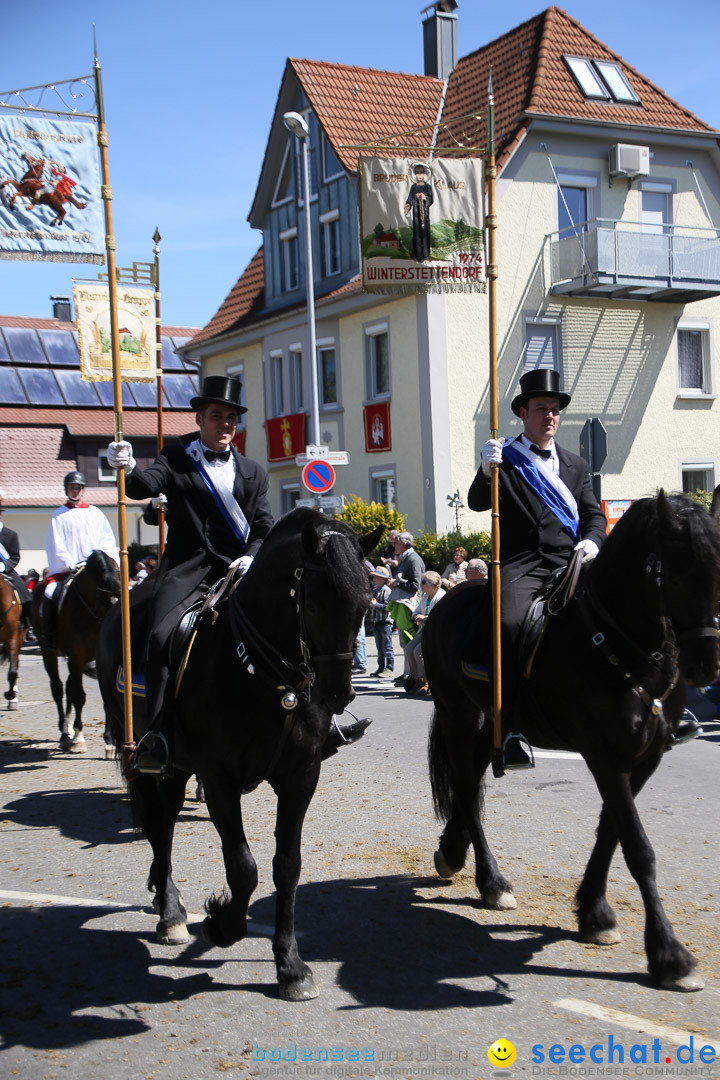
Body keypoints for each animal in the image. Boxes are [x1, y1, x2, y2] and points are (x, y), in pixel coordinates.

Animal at [32, 548, 118, 751]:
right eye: (105, 600)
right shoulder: (76, 658)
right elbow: (79, 697)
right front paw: (79, 738)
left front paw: (110, 741)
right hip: (49, 653)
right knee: (58, 688)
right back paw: (65, 733)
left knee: (69, 687)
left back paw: (68, 730)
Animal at [99, 509, 386, 997]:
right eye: (316, 603)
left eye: (366, 604)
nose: (337, 694)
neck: (265, 673)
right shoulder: (218, 780)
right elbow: (243, 867)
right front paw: (222, 925)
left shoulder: (300, 776)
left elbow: (286, 866)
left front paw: (290, 964)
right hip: (151, 755)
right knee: (161, 825)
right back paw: (170, 911)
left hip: (178, 768)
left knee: (164, 822)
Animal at [425, 494, 720, 989]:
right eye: (678, 573)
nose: (707, 666)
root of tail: (445, 604)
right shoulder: (605, 757)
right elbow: (638, 848)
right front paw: (670, 955)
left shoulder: (644, 757)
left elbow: (610, 833)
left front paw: (596, 915)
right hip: (457, 713)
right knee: (466, 786)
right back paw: (492, 882)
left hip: (490, 719)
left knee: (476, 774)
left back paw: (453, 852)